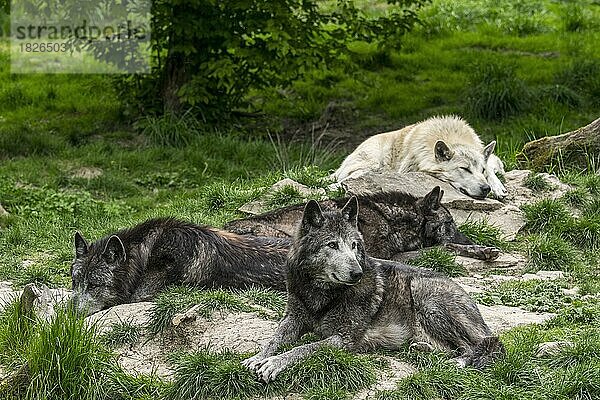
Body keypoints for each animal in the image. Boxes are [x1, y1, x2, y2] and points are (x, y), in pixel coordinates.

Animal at [225, 188, 496, 262]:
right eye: (450, 223)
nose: (471, 240)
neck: (388, 218)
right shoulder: (386, 256)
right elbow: (444, 247)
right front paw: (477, 249)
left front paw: (482, 249)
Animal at [243, 197, 502, 382]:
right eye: (332, 245)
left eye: (354, 245)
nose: (357, 273)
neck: (321, 294)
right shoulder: (292, 319)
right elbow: (274, 339)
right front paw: (256, 358)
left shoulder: (343, 340)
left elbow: (304, 348)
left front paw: (273, 363)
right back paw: (422, 349)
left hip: (426, 297)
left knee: (483, 345)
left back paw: (456, 363)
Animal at [332, 115, 506, 199]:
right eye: (464, 169)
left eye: (481, 170)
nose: (485, 189)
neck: (452, 136)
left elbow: (492, 169)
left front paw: (497, 187)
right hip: (371, 164)